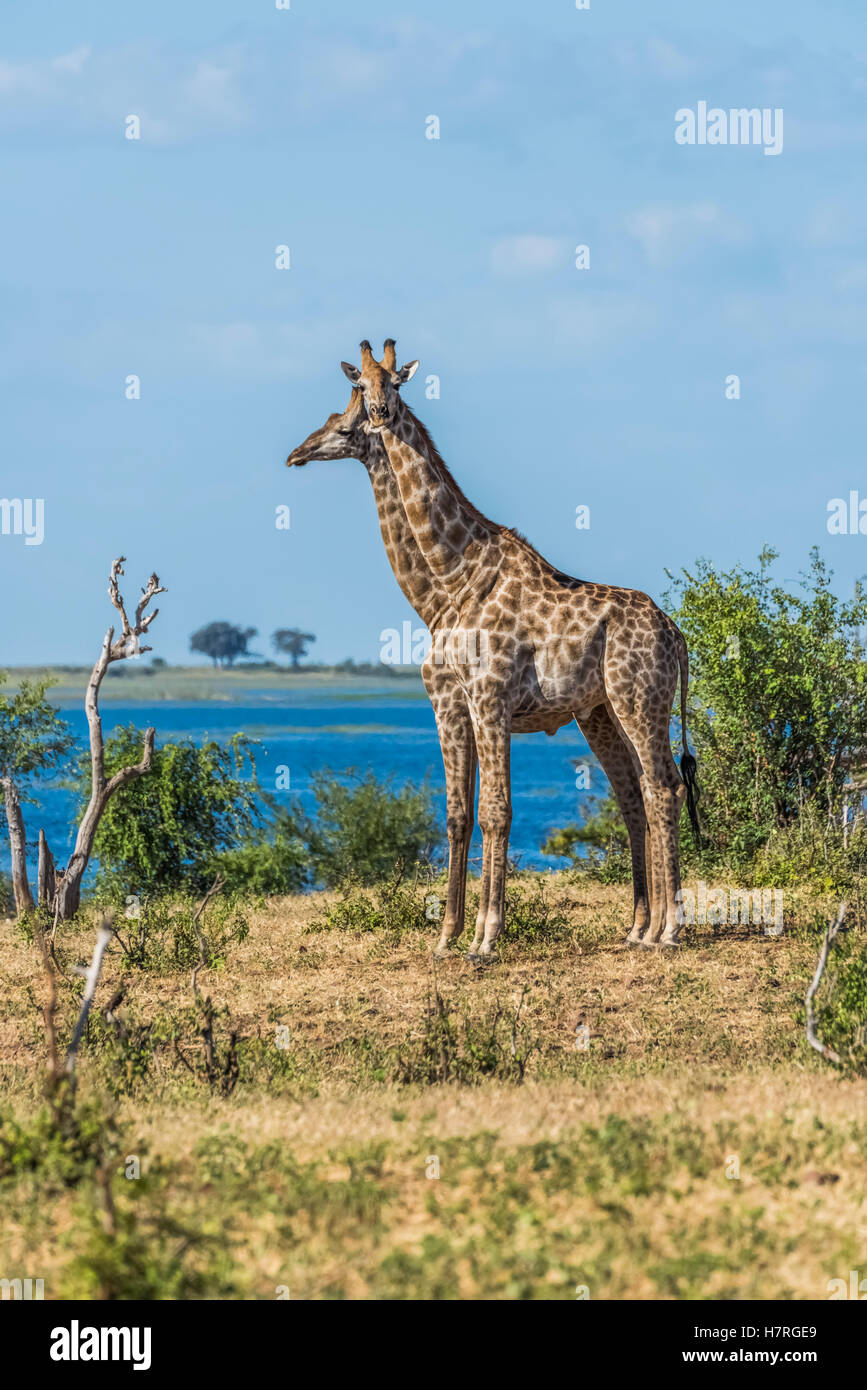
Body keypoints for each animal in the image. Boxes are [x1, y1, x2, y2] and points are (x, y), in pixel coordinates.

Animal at [286, 340, 697, 956]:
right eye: (357, 390)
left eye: (384, 392)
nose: (299, 452)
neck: (445, 582)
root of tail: (677, 635)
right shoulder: (450, 703)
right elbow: (458, 814)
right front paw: (447, 936)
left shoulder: (489, 697)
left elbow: (496, 811)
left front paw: (486, 936)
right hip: (602, 711)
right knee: (635, 795)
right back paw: (639, 928)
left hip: (641, 699)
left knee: (663, 787)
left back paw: (669, 929)